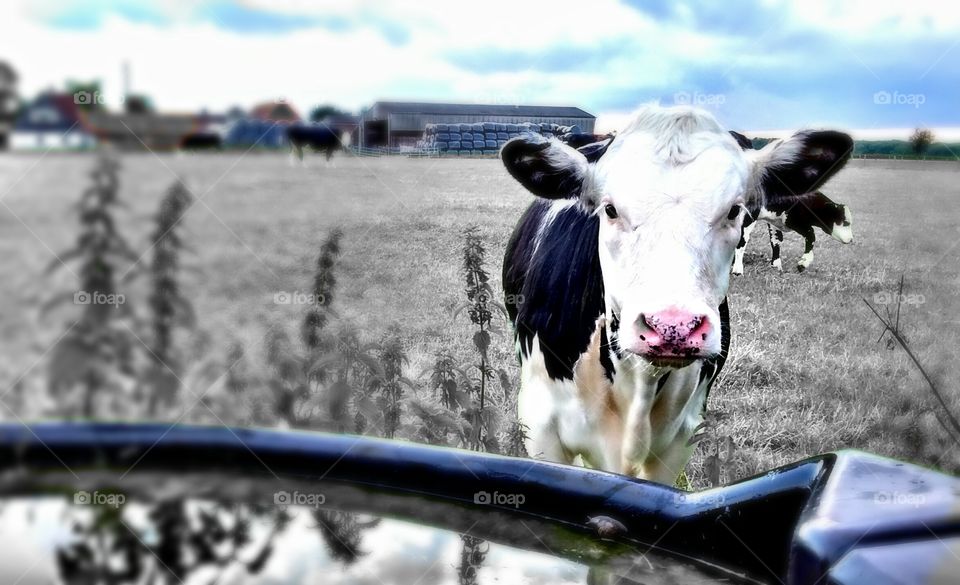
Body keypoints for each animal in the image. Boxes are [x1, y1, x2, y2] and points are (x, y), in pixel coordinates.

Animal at [728, 131, 856, 272]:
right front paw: (803, 263)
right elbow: (811, 235)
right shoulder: (793, 220)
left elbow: (776, 240)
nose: (851, 240)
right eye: (846, 222)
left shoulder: (775, 220)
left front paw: (776, 265)